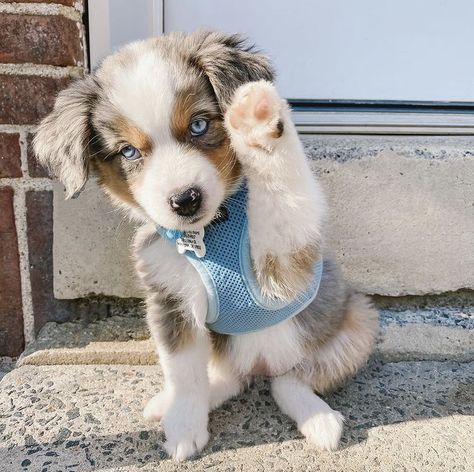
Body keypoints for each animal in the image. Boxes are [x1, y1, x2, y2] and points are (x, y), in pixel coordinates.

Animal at [34, 32, 378, 460]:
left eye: (199, 125)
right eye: (128, 151)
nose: (185, 200)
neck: (209, 233)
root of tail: (259, 364)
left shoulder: (284, 267)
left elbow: (282, 194)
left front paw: (257, 121)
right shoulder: (170, 304)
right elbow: (184, 373)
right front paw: (184, 426)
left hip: (355, 326)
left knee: (290, 380)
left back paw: (319, 419)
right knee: (230, 378)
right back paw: (169, 404)